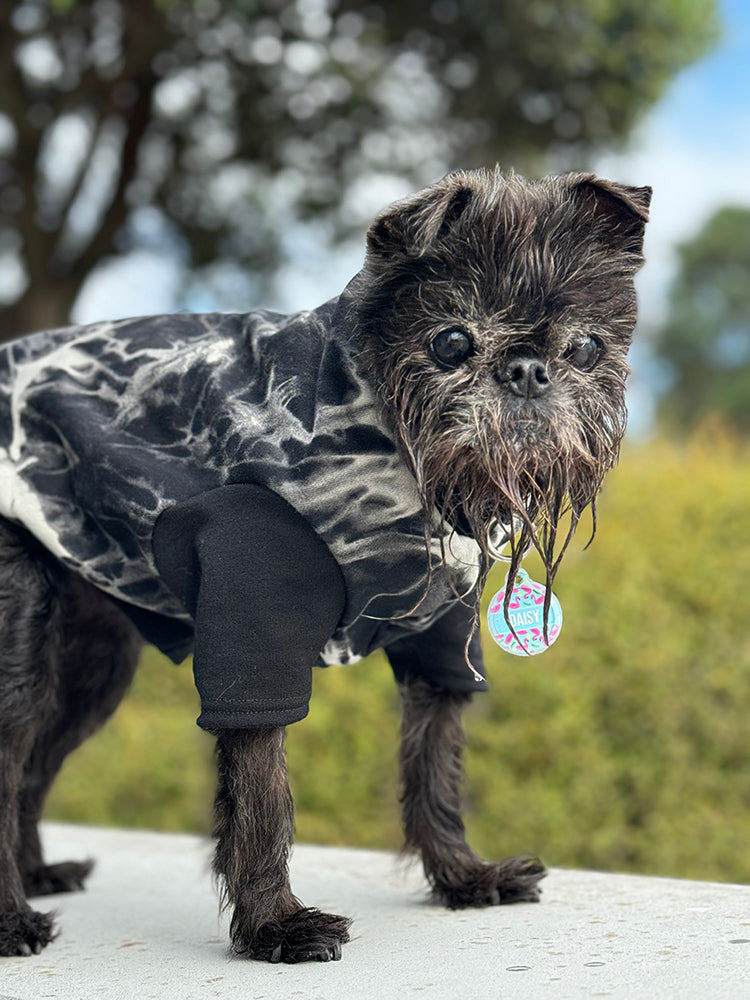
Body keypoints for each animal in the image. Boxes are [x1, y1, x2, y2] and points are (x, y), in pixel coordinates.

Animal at [0, 170, 648, 960]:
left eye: (586, 346)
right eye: (451, 341)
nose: (527, 369)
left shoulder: (443, 638)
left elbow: (435, 765)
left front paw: (463, 877)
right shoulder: (252, 626)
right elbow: (261, 792)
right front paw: (274, 925)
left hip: (93, 665)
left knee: (33, 765)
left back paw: (38, 874)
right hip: (24, 644)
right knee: (10, 751)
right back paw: (10, 916)